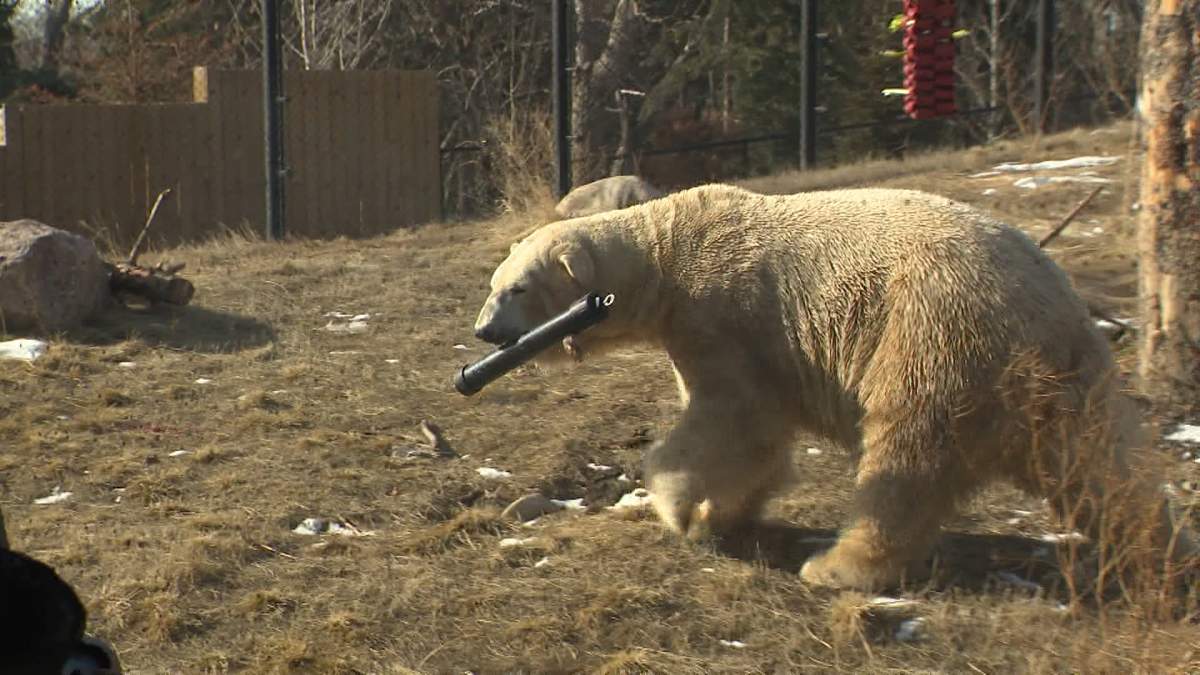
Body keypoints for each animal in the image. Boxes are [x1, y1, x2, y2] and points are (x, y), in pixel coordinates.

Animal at [472, 183, 1196, 591]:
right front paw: (724, 512)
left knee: (902, 459)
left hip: (932, 332)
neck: (670, 249)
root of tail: (1046, 317)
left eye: (518, 288)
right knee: (1098, 462)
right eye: (494, 284)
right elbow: (759, 442)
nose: (484, 332)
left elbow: (733, 421)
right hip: (1070, 376)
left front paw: (679, 509)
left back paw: (836, 566)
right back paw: (1163, 554)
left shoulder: (725, 314)